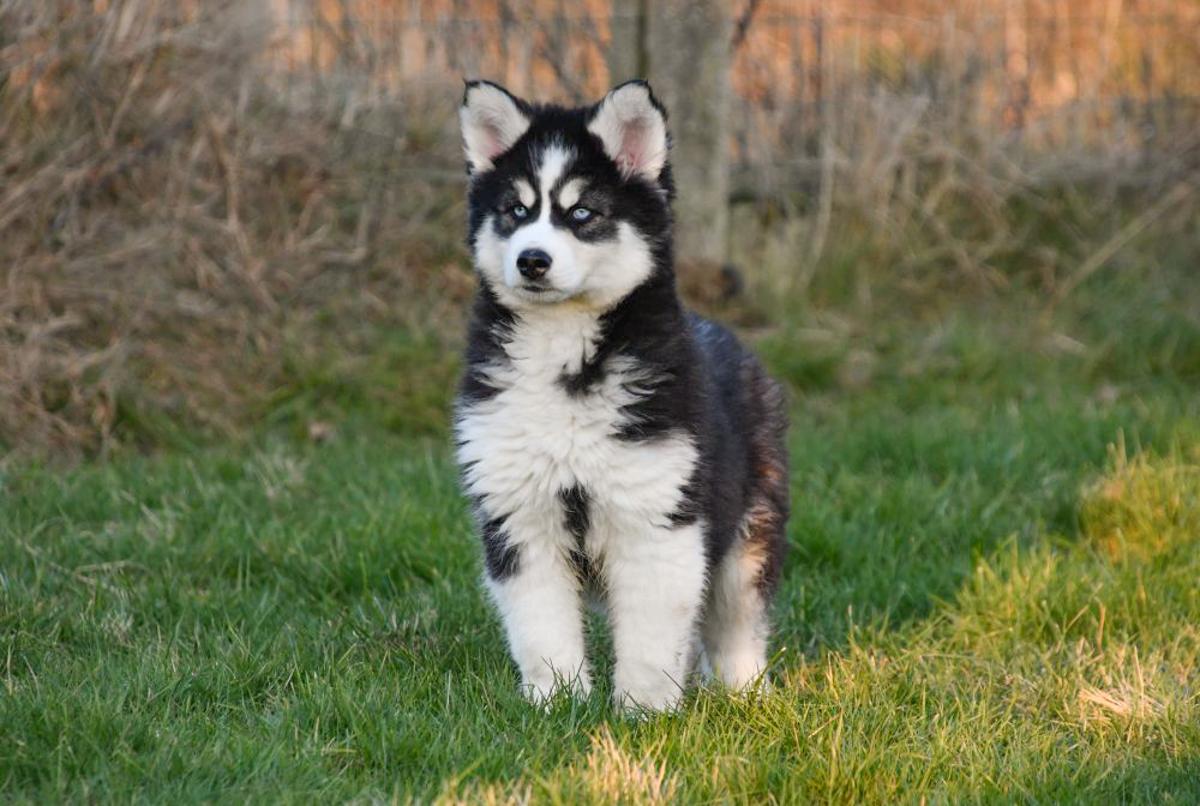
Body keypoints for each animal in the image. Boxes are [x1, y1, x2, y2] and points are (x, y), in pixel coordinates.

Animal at [451, 80, 787, 710]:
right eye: (516, 211)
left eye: (582, 213)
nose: (532, 260)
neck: (563, 351)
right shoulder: (520, 517)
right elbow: (542, 627)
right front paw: (555, 703)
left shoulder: (657, 516)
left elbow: (653, 634)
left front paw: (644, 711)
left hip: (749, 529)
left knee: (736, 620)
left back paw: (745, 694)